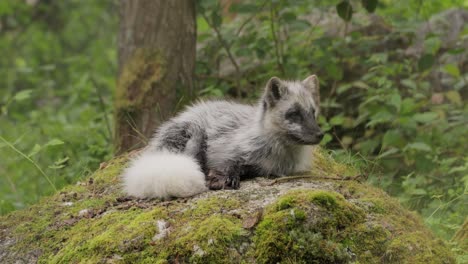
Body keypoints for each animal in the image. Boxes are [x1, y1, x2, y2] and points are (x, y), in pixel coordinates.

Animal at [122, 74, 324, 198]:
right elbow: (229, 165)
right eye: (294, 114)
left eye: (313, 112)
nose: (320, 135)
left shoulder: (263, 168)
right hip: (195, 135)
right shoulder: (226, 152)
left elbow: (246, 169)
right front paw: (224, 178)